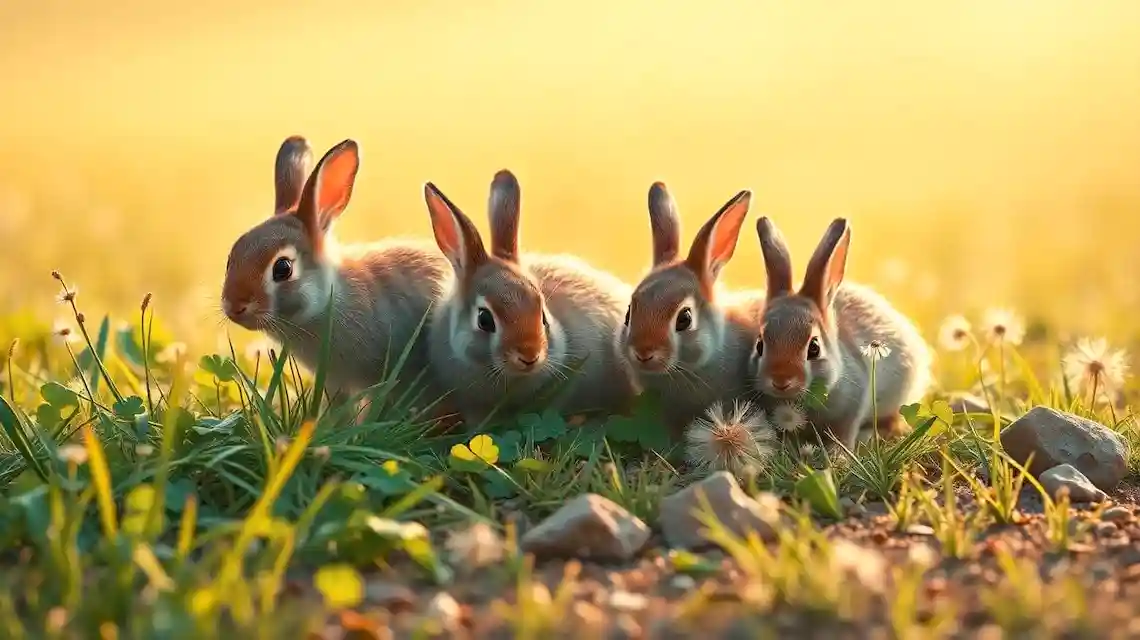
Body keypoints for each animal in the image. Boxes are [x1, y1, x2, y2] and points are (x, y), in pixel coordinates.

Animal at [748, 216, 933, 450]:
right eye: (760, 345)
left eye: (814, 348)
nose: (781, 381)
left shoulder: (851, 411)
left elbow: (843, 435)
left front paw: (838, 454)